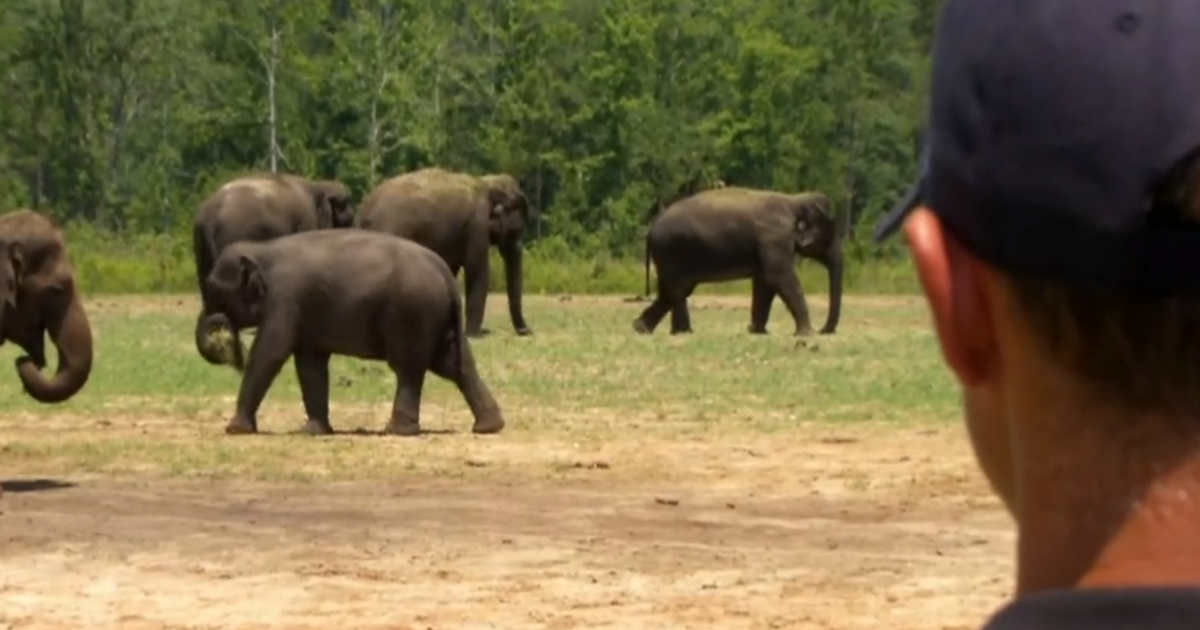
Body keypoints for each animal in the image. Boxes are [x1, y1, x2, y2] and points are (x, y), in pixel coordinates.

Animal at [191, 172, 355, 365]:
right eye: (347, 218)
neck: (316, 185)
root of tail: (209, 218)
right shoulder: (306, 219)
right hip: (233, 235)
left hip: (199, 244)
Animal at [194, 228, 506, 437]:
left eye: (214, 289)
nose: (220, 324)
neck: (262, 249)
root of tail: (446, 275)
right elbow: (310, 364)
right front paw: (314, 431)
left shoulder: (285, 298)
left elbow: (271, 352)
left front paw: (235, 430)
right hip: (435, 319)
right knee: (456, 366)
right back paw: (488, 427)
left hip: (412, 315)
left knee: (409, 368)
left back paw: (397, 431)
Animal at [356, 167, 532, 338]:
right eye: (516, 230)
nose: (527, 331)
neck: (487, 183)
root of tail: (365, 211)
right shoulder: (477, 226)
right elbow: (477, 271)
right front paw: (474, 334)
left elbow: (450, 270)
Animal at [633, 187, 844, 336]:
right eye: (829, 236)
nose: (824, 330)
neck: (795, 201)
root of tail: (651, 229)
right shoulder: (775, 240)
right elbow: (780, 277)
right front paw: (806, 334)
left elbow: (764, 282)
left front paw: (758, 332)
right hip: (671, 252)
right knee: (676, 290)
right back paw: (683, 332)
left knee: (671, 291)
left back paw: (642, 328)